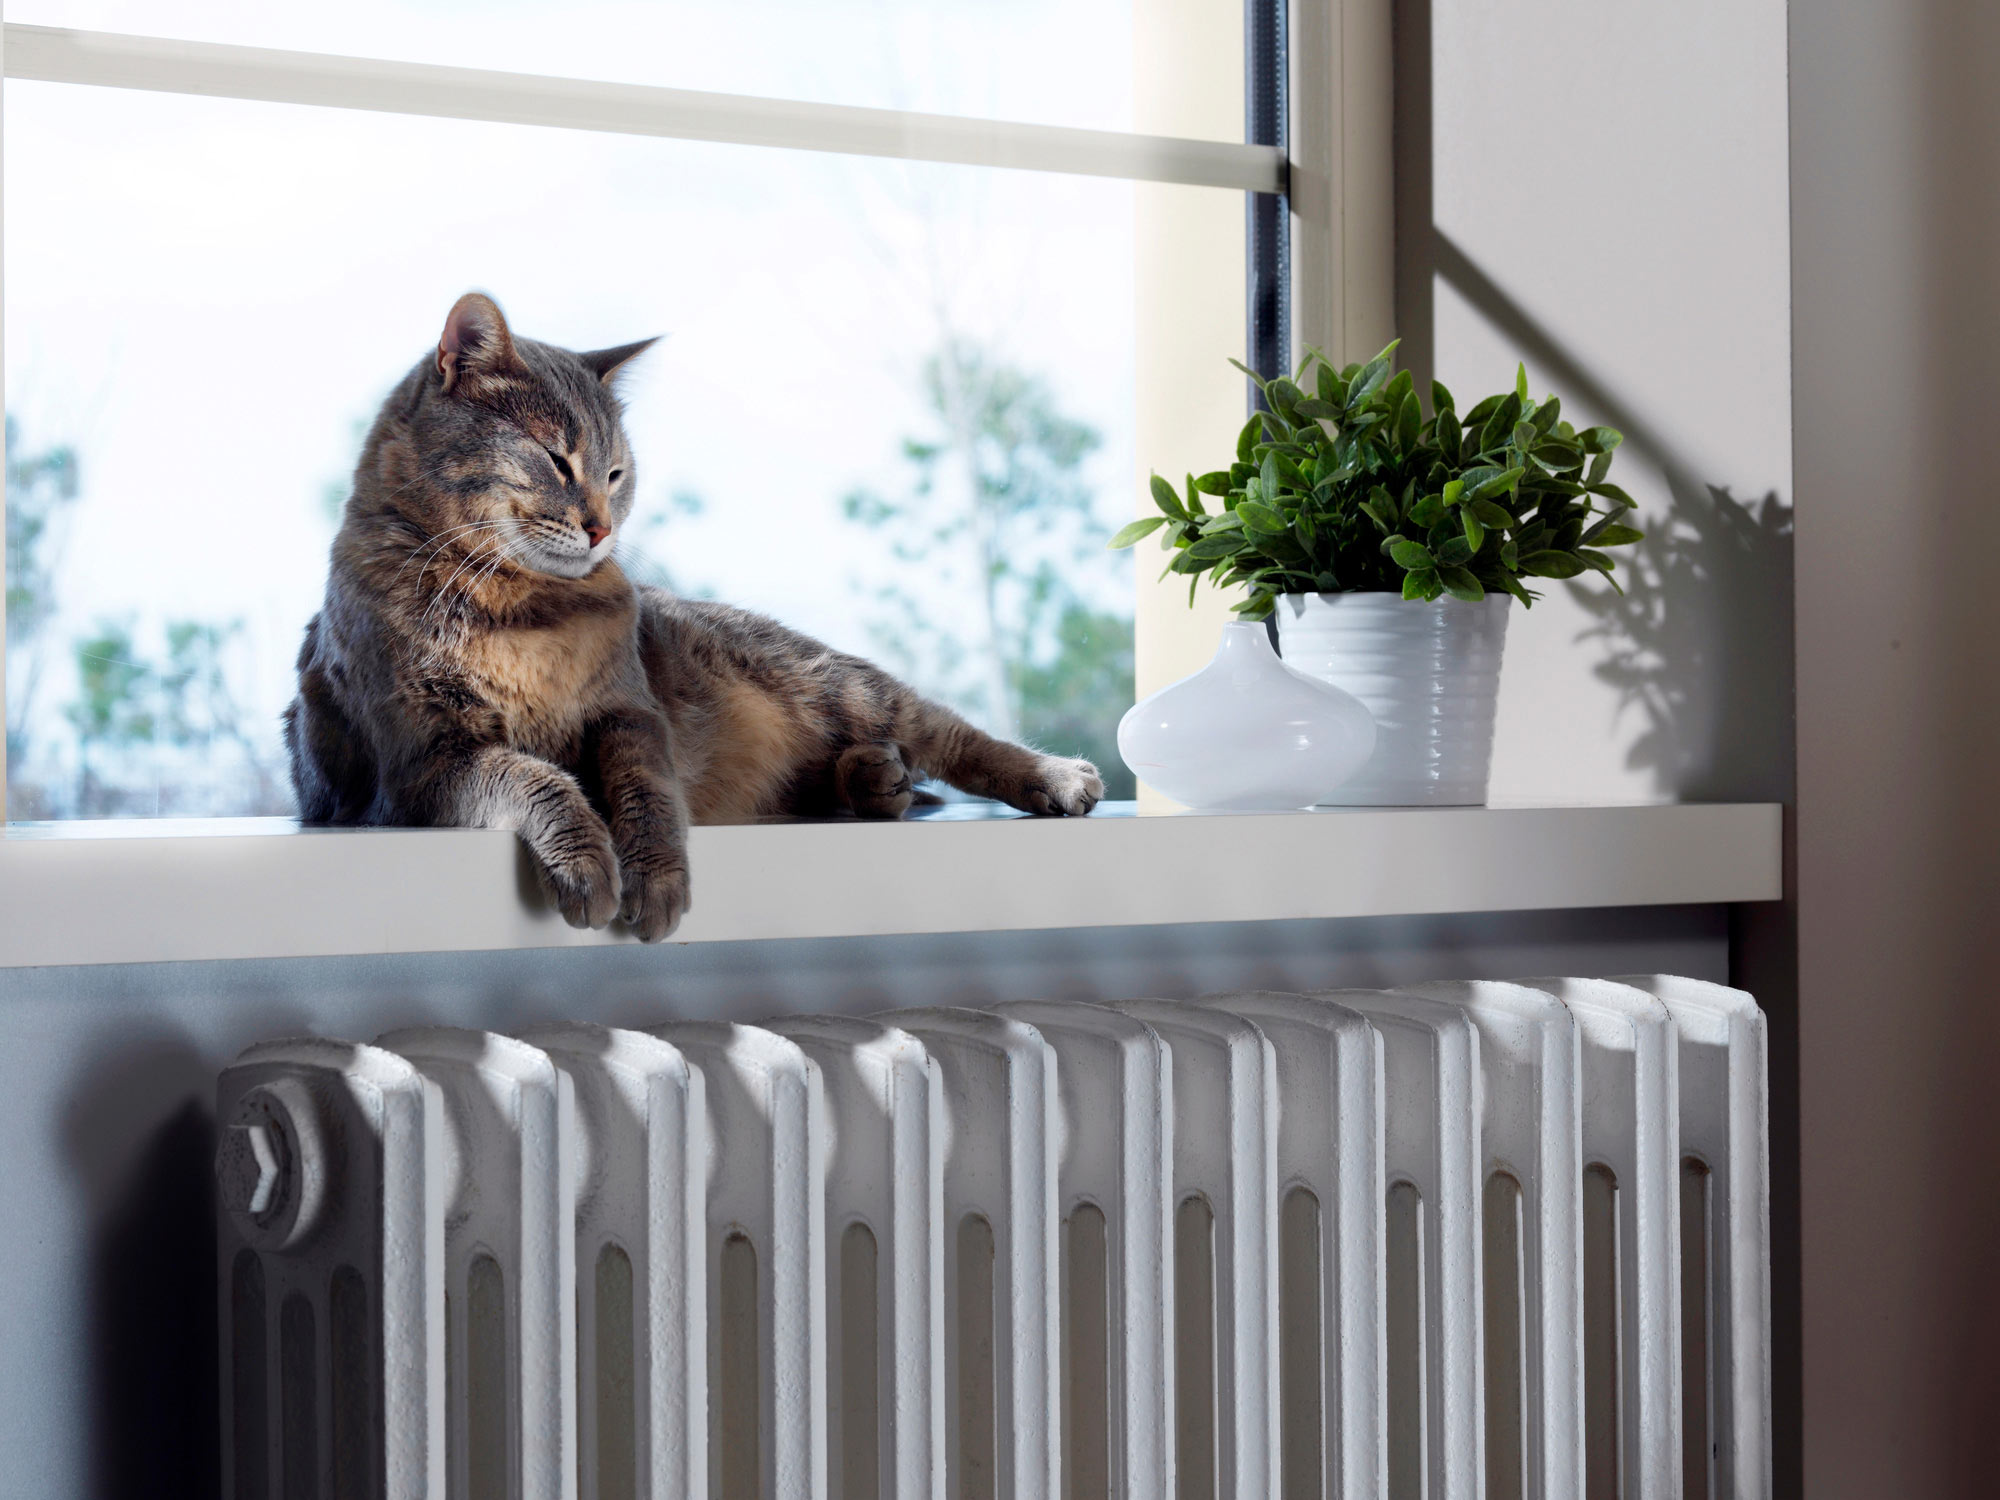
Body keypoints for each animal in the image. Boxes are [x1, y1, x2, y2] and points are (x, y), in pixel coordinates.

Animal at [284, 292, 1104, 940]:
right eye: (556, 458)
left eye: (616, 473)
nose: (600, 527)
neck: (520, 609)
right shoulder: (424, 763)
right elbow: (532, 778)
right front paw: (587, 860)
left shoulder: (629, 711)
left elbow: (646, 790)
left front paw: (653, 878)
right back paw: (876, 777)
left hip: (831, 680)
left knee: (946, 730)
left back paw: (1046, 775)